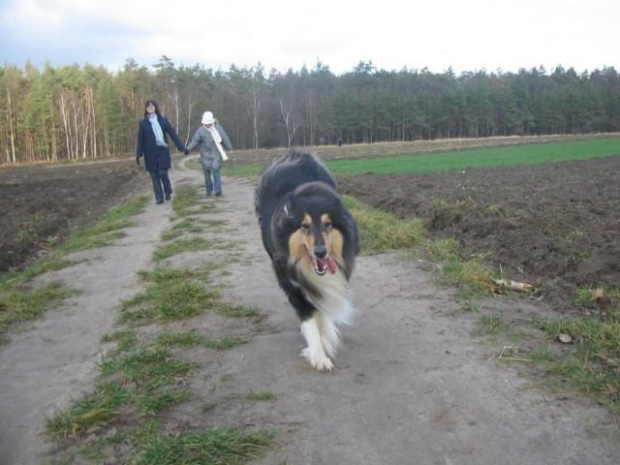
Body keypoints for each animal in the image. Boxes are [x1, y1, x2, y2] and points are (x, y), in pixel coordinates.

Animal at [253, 150, 358, 372]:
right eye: (304, 226)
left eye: (328, 224)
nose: (321, 253)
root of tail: (294, 154)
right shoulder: (292, 285)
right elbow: (309, 317)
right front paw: (318, 354)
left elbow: (323, 305)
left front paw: (326, 339)